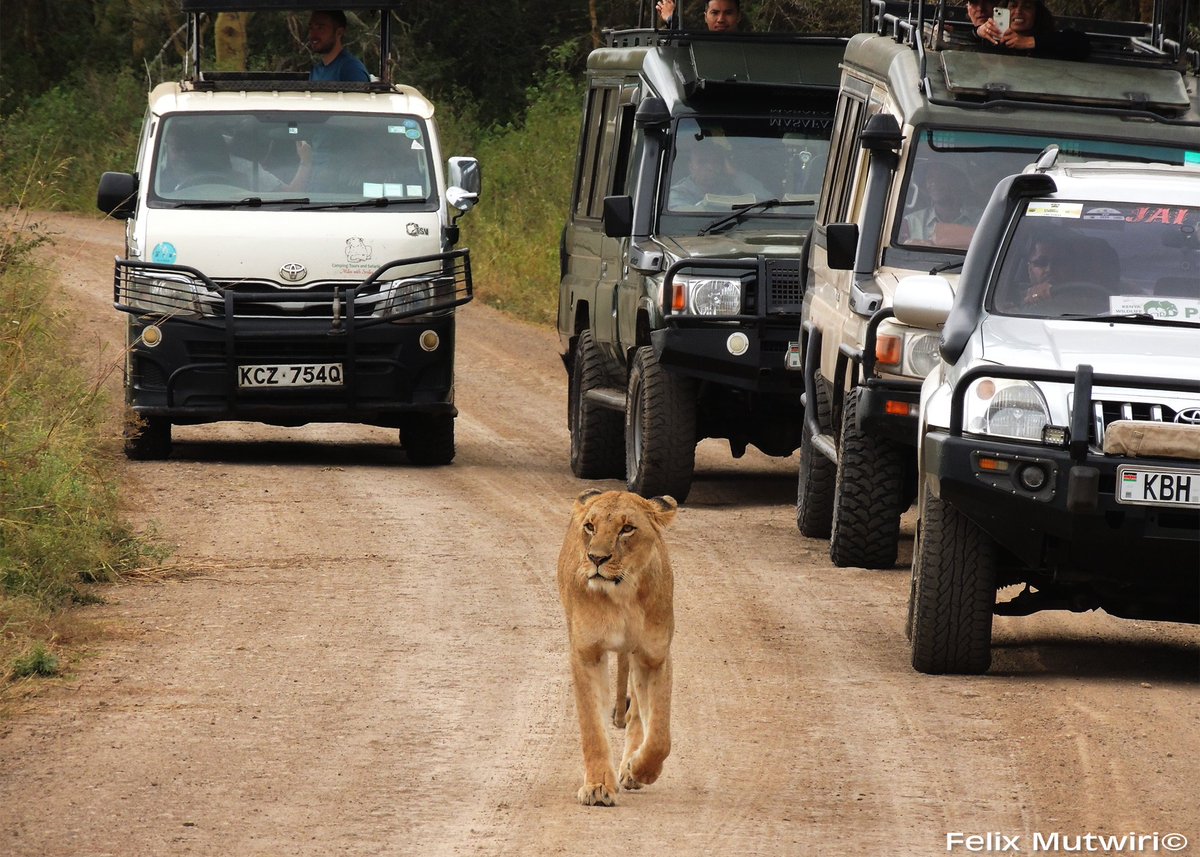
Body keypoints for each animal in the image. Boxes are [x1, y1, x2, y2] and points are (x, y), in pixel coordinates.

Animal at [557, 488, 678, 807]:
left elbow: (660, 736)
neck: (622, 597)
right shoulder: (586, 654)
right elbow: (592, 728)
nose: (596, 558)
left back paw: (631, 768)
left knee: (636, 715)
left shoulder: (654, 657)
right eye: (590, 526)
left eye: (627, 529)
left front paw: (640, 770)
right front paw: (598, 787)